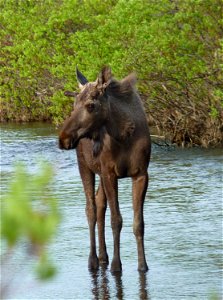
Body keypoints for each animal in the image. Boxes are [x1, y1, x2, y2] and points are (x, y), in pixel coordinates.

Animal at [58, 67, 151, 274]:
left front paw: (142, 265)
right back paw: (93, 260)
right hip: (84, 166)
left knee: (100, 204)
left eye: (91, 105)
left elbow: (138, 223)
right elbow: (116, 220)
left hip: (99, 172)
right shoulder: (110, 173)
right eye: (74, 104)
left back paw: (103, 256)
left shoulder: (141, 174)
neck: (124, 135)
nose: (63, 138)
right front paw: (117, 265)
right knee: (91, 209)